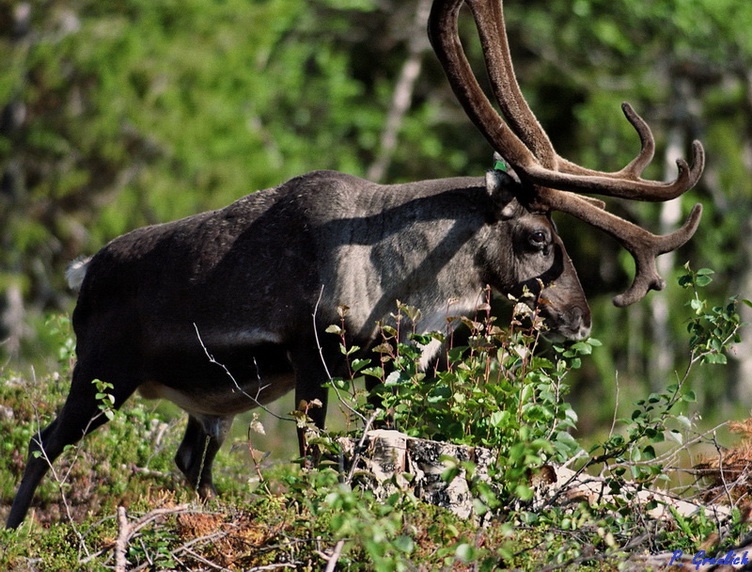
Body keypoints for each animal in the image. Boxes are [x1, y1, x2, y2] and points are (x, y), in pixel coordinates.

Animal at [6, 0, 704, 529]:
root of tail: (83, 271)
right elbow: (314, 456)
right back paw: (15, 533)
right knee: (43, 442)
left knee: (187, 461)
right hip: (103, 372)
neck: (401, 280)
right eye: (537, 237)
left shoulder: (385, 368)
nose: (580, 320)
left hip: (206, 403)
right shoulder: (312, 357)